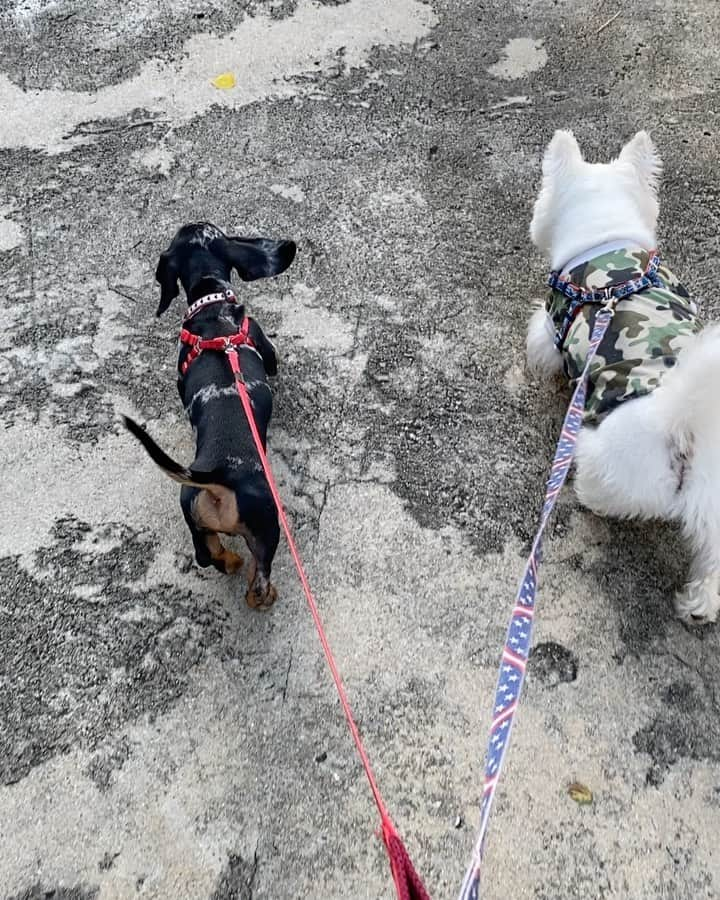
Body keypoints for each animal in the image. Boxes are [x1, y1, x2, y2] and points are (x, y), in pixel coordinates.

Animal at [524, 130, 720, 624]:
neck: (606, 241)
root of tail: (682, 429)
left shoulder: (552, 324)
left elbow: (542, 343)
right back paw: (698, 606)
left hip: (605, 460)